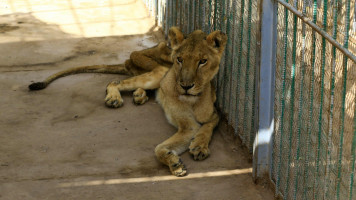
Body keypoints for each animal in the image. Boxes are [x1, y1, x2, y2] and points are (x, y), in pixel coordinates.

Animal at [28, 27, 228, 177]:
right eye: (180, 60)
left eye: (202, 61)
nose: (186, 86)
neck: (193, 100)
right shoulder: (187, 126)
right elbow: (159, 149)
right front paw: (175, 163)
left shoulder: (213, 115)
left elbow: (207, 128)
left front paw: (199, 146)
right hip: (159, 71)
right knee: (115, 82)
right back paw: (115, 98)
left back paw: (140, 95)